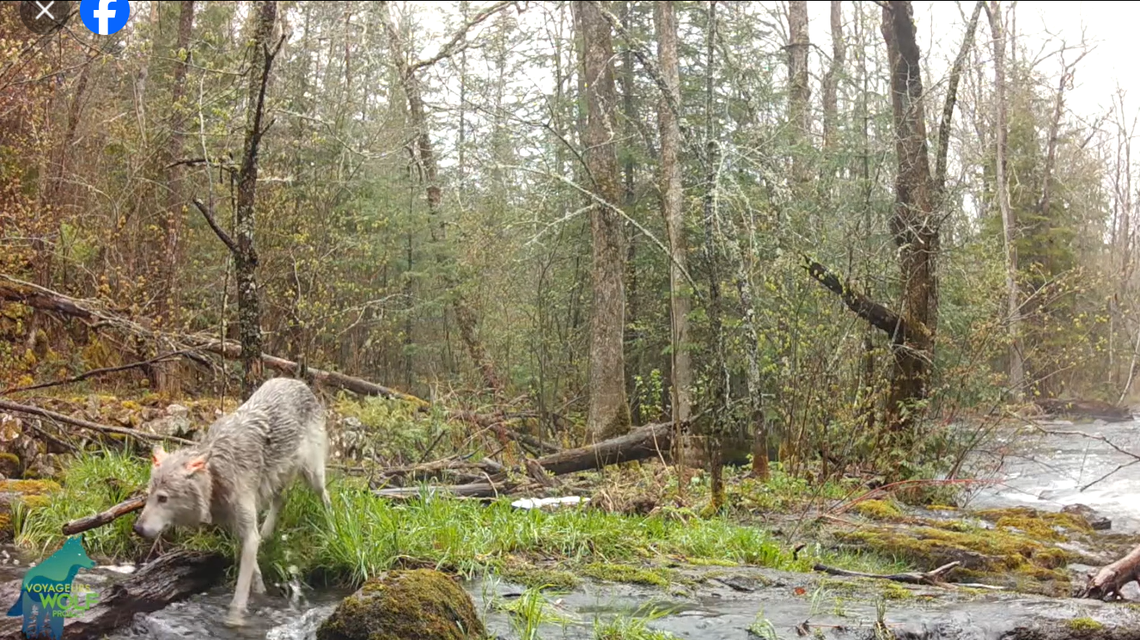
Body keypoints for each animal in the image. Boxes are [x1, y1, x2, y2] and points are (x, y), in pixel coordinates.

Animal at [133, 377, 332, 627]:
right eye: (149, 495)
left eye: (163, 498)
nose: (137, 529)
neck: (217, 475)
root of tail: (296, 381)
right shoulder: (240, 530)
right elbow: (254, 570)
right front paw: (261, 593)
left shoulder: (247, 532)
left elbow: (239, 594)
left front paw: (235, 621)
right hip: (277, 480)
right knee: (281, 500)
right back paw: (268, 532)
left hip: (313, 476)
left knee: (325, 496)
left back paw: (332, 528)